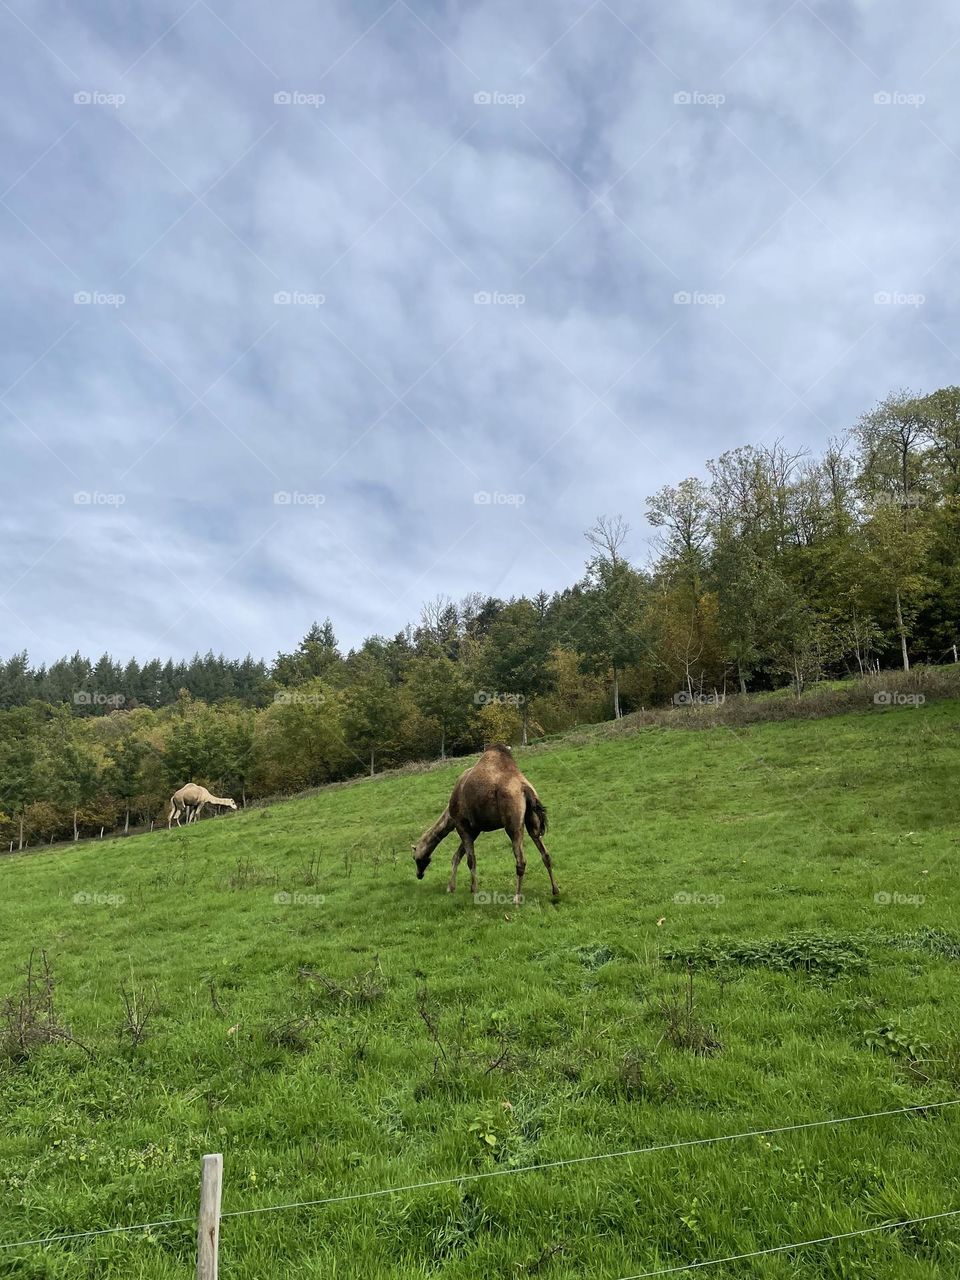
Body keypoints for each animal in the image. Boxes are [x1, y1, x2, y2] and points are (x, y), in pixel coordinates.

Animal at [412, 744, 559, 903]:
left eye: (415, 858)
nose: (419, 874)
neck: (449, 816)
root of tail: (525, 789)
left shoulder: (461, 824)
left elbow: (470, 859)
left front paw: (473, 890)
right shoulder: (475, 829)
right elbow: (457, 856)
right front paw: (451, 888)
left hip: (512, 824)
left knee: (521, 860)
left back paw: (516, 898)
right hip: (532, 822)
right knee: (545, 854)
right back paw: (555, 890)